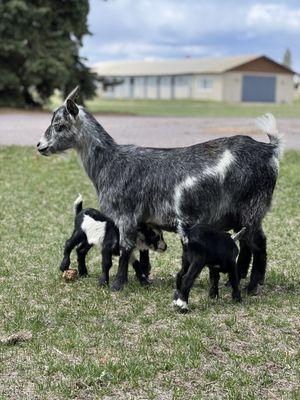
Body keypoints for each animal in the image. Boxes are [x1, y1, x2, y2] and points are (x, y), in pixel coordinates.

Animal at [37, 87, 284, 292]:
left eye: (59, 125)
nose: (40, 146)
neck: (111, 163)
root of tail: (269, 150)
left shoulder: (126, 216)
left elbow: (126, 249)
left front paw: (117, 284)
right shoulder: (144, 221)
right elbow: (142, 252)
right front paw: (144, 277)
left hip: (252, 208)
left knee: (259, 245)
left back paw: (252, 286)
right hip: (242, 215)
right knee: (246, 244)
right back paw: (240, 278)